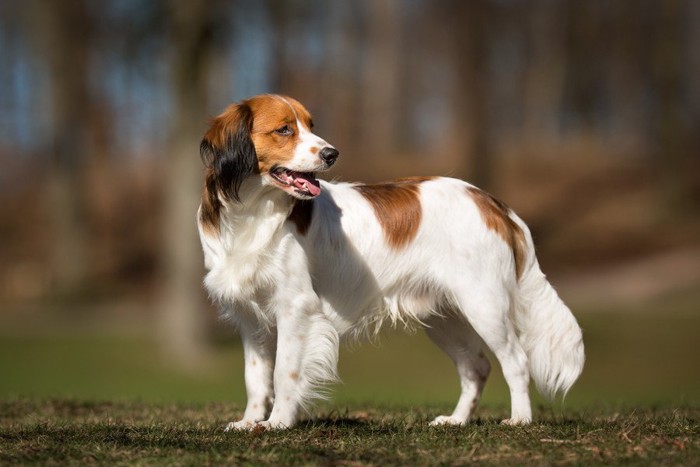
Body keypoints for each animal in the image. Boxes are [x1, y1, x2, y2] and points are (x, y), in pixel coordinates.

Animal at [197, 94, 584, 432]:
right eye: (284, 129)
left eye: (310, 124)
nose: (332, 153)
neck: (254, 212)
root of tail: (491, 202)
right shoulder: (251, 319)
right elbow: (255, 377)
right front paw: (250, 422)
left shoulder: (296, 308)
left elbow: (284, 372)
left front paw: (278, 422)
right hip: (445, 317)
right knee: (476, 366)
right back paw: (456, 420)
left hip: (484, 306)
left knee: (515, 361)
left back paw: (520, 419)